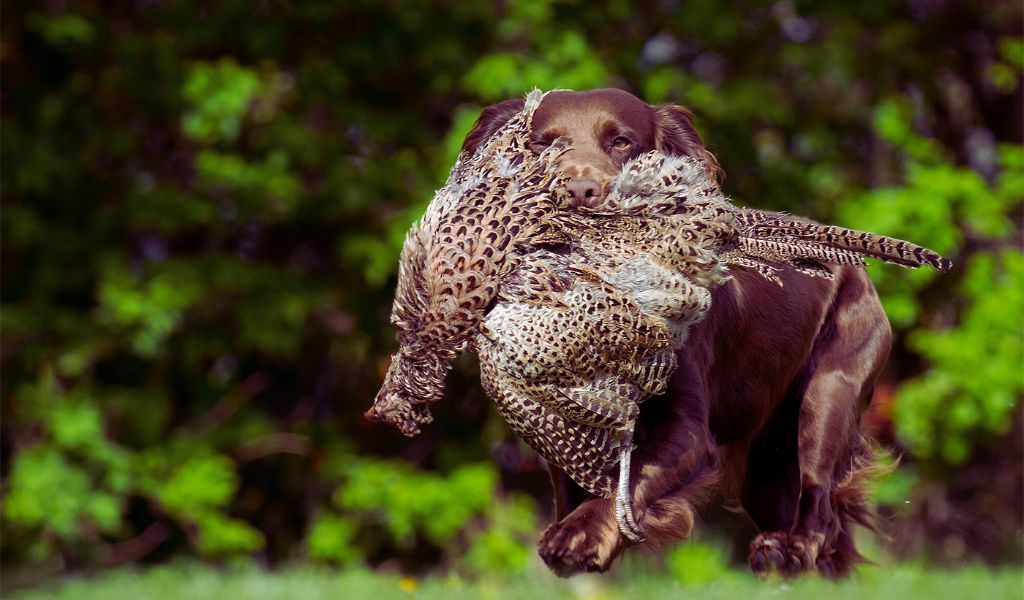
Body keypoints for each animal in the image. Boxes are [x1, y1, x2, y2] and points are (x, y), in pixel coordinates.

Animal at [460, 87, 892, 573]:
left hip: (831, 389)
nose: (581, 192)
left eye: (622, 141)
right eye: (544, 143)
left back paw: (792, 547)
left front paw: (580, 536)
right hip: (764, 465)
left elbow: (633, 475)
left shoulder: (688, 430)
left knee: (819, 495)